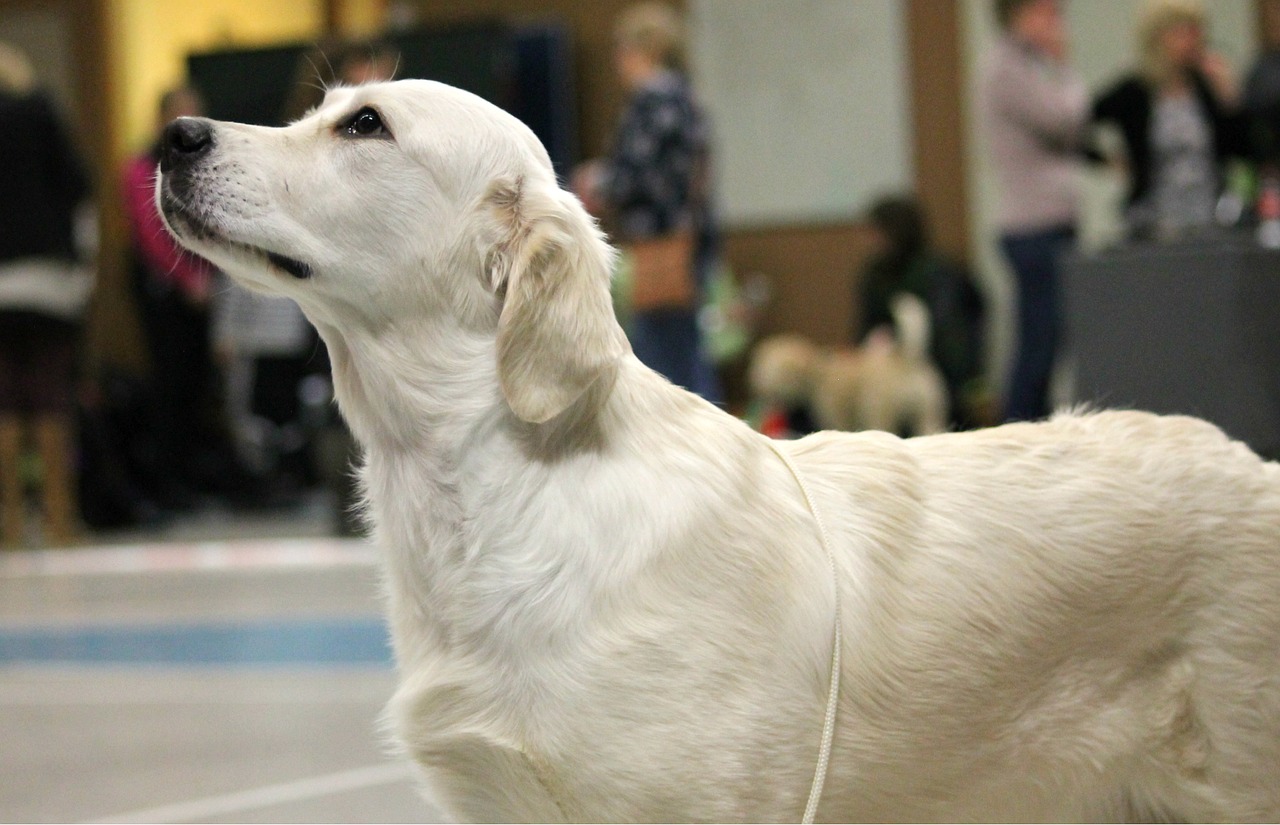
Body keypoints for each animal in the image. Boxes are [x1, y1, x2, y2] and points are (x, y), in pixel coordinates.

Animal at [747, 295, 952, 437]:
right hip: (928, 412)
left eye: (773, 370)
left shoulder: (837, 415)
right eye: (761, 365)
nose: (758, 386)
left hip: (880, 411)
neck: (819, 373)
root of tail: (908, 358)